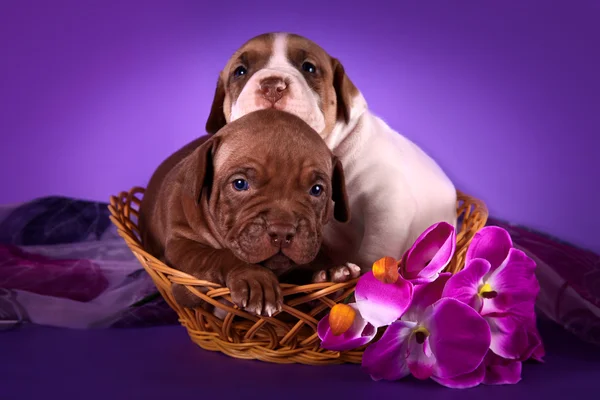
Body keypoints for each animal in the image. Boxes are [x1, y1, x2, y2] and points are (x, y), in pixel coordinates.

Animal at [138, 108, 350, 318]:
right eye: (240, 184)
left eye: (316, 190)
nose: (282, 232)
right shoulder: (181, 245)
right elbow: (216, 255)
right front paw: (255, 279)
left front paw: (330, 273)